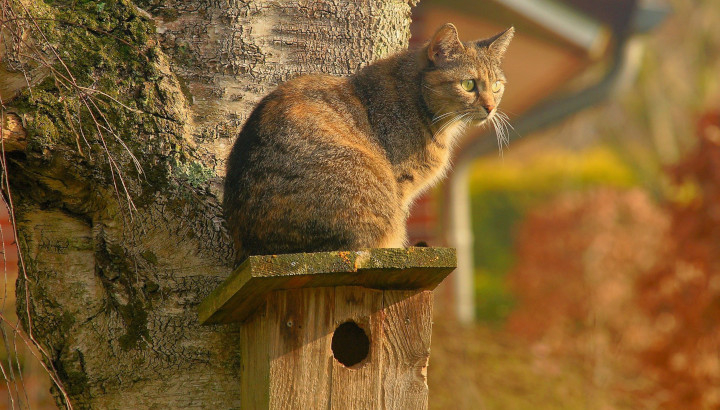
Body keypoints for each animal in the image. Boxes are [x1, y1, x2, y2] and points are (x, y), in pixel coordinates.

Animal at [225, 24, 512, 264]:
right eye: (468, 84)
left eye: (497, 86)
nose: (491, 107)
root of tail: (254, 249)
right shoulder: (400, 185)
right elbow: (400, 227)